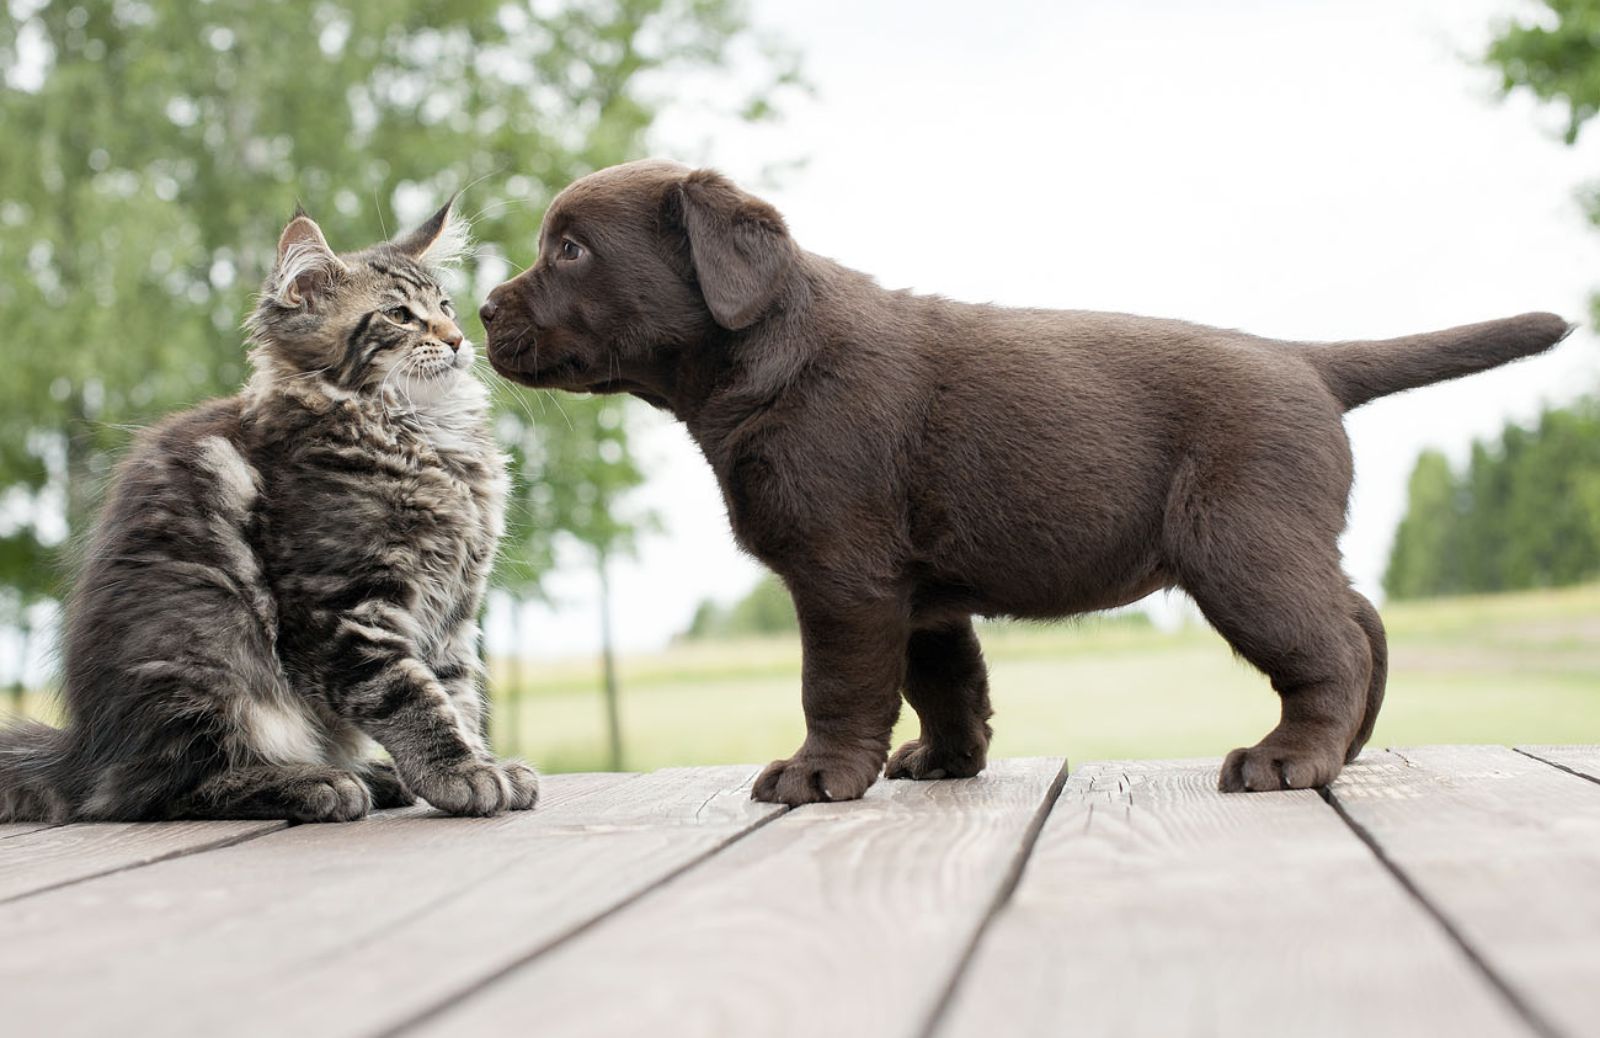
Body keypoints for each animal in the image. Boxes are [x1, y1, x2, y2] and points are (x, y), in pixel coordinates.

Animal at [0, 200, 537, 818]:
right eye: (399, 315)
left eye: (445, 307)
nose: (456, 339)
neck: (421, 435)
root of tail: (84, 755)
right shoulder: (344, 608)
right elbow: (409, 696)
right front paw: (459, 773)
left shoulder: (452, 612)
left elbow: (457, 693)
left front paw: (482, 761)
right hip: (208, 647)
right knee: (161, 791)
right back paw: (314, 782)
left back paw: (372, 775)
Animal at [476, 161, 1574, 806]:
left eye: (570, 248)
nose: (482, 309)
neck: (769, 355)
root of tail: (1303, 359)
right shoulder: (914, 591)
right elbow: (945, 681)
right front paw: (945, 762)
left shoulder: (841, 574)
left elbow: (838, 685)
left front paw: (819, 773)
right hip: (1277, 540)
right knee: (1361, 619)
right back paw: (1347, 749)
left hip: (1240, 546)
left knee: (1332, 644)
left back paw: (1289, 758)